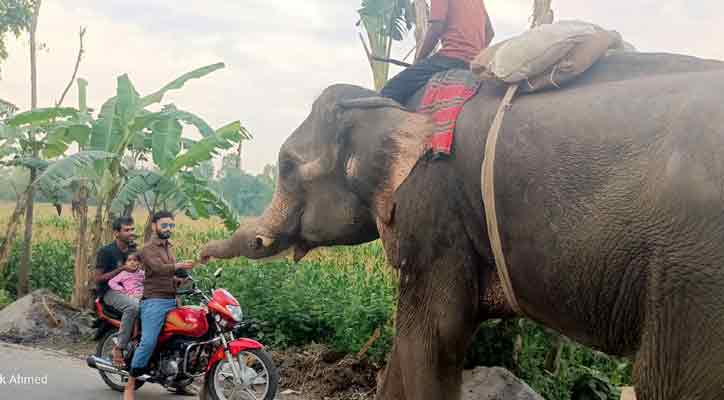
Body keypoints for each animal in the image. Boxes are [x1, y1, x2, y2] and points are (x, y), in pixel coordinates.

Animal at [199, 53, 724, 400]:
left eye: (287, 167)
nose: (198, 256)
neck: (385, 102)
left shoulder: (431, 202)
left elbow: (435, 333)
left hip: (692, 276)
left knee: (666, 379)